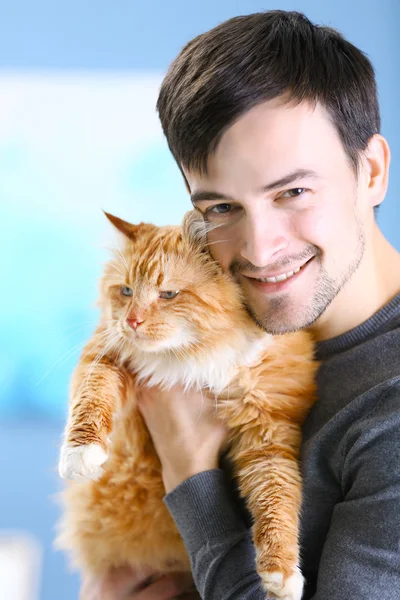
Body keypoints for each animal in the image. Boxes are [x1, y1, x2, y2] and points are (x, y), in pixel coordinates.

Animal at [57, 209, 318, 596]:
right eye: (126, 291)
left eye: (168, 294)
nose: (132, 321)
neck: (193, 358)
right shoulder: (105, 355)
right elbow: (91, 398)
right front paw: (80, 454)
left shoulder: (268, 432)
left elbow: (278, 497)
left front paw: (281, 574)